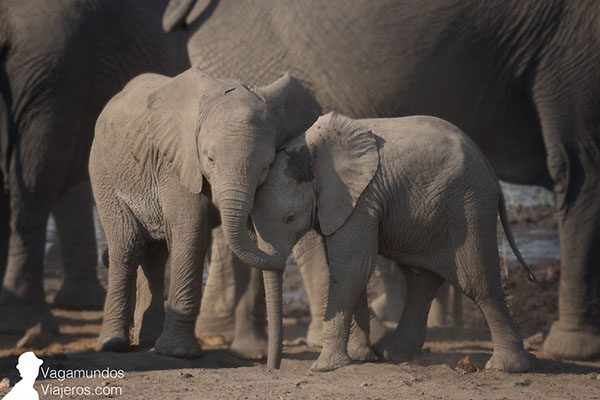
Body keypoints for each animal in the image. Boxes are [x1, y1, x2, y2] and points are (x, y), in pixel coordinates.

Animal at [246, 111, 536, 372]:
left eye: (290, 218)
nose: (273, 369)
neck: (309, 151)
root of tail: (490, 169)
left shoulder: (360, 200)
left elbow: (353, 267)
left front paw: (326, 367)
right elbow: (350, 270)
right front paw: (361, 356)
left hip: (469, 205)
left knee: (476, 282)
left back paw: (506, 367)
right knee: (421, 279)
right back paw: (396, 354)